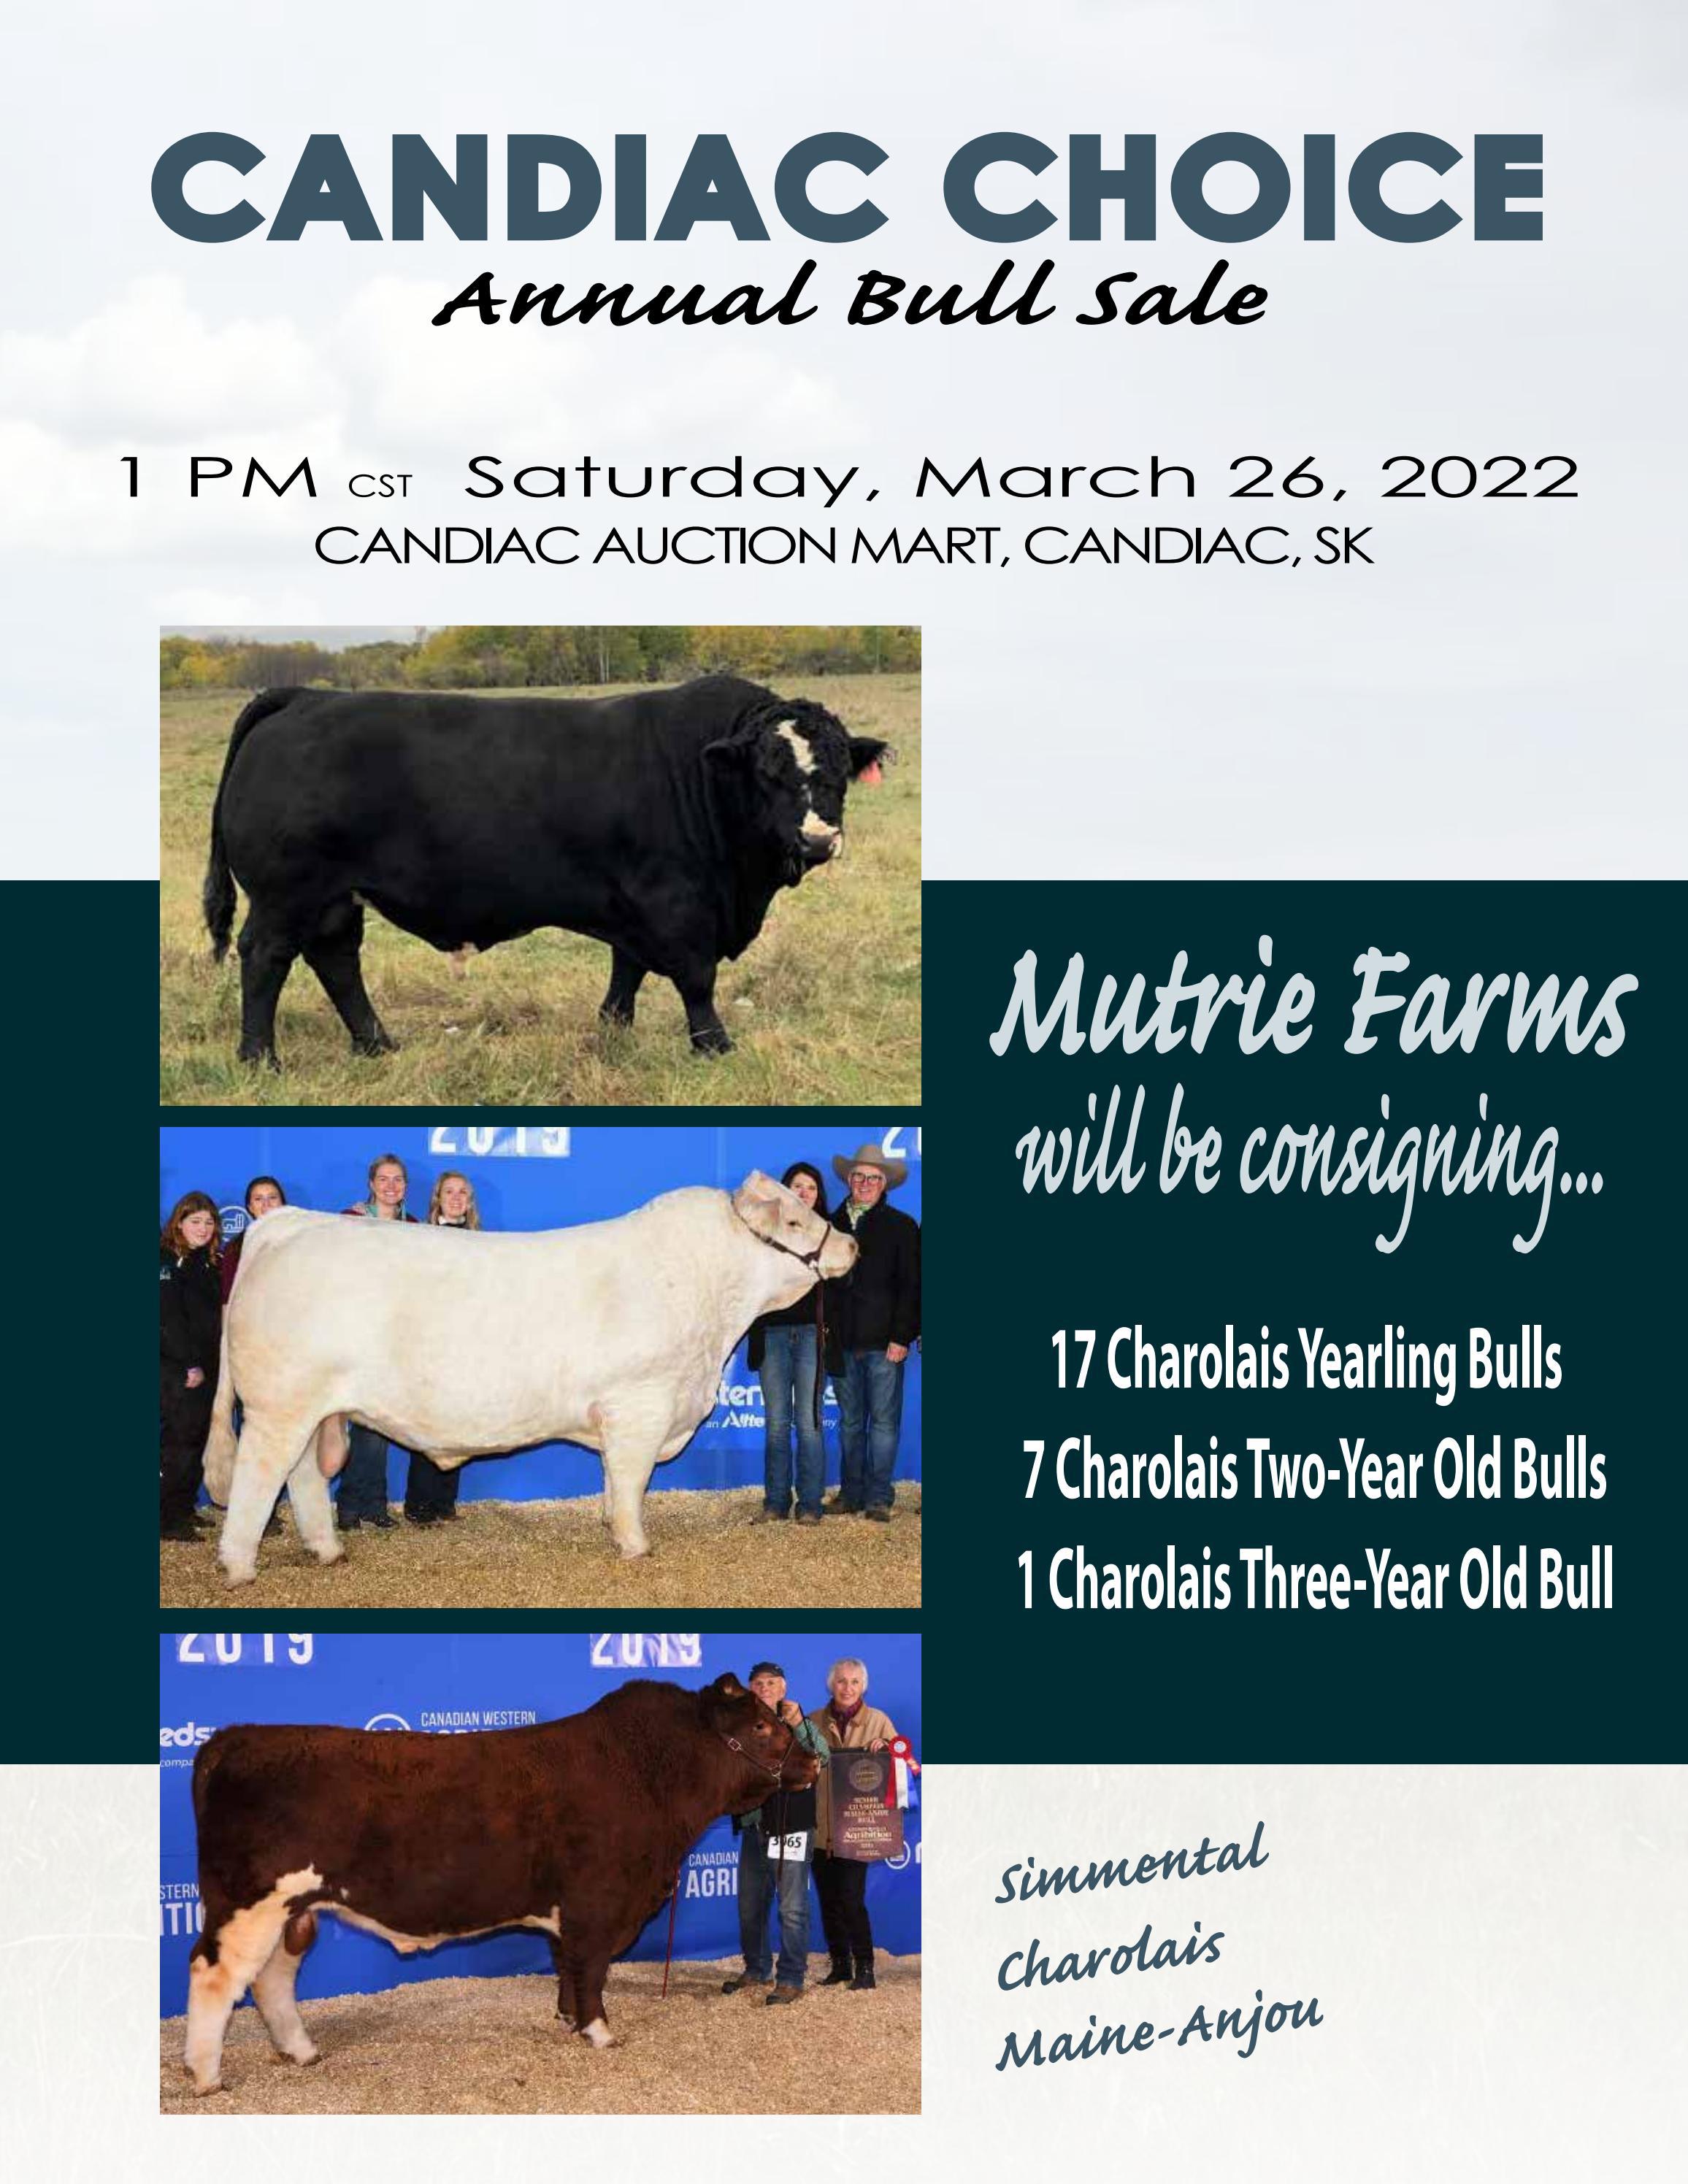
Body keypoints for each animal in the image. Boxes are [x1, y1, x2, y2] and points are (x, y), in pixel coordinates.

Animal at [182, 1672, 820, 2094]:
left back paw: (302, 2052)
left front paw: (568, 2020)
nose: (813, 1764)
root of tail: (234, 1738)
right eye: (762, 1726)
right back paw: (206, 2076)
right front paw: (600, 2033)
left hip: (293, 1910)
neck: (650, 1775)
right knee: (214, 1975)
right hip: (248, 1902)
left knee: (272, 1978)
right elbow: (591, 1969)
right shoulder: (597, 1902)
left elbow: (566, 1966)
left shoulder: (572, 1911)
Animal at [200, 674, 889, 1064]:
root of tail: (304, 698)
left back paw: (376, 1046)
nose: (819, 838)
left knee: (336, 960)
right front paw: (714, 1046)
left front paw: (614, 1028)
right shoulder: (676, 901)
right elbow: (695, 978)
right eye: (769, 773)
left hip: (335, 897)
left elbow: (628, 968)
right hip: (286, 894)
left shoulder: (635, 904)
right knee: (266, 958)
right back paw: (260, 1058)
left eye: (838, 770)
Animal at [202, 1171, 857, 1583]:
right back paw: (239, 1566)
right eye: (795, 1222)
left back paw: (328, 1550)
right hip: (280, 1406)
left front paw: (608, 1526)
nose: (849, 1245)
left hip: (313, 1409)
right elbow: (632, 1481)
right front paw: (636, 1545)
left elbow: (612, 1479)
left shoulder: (617, 1415)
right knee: (260, 1476)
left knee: (305, 1478)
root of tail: (285, 1225)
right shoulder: (640, 1405)